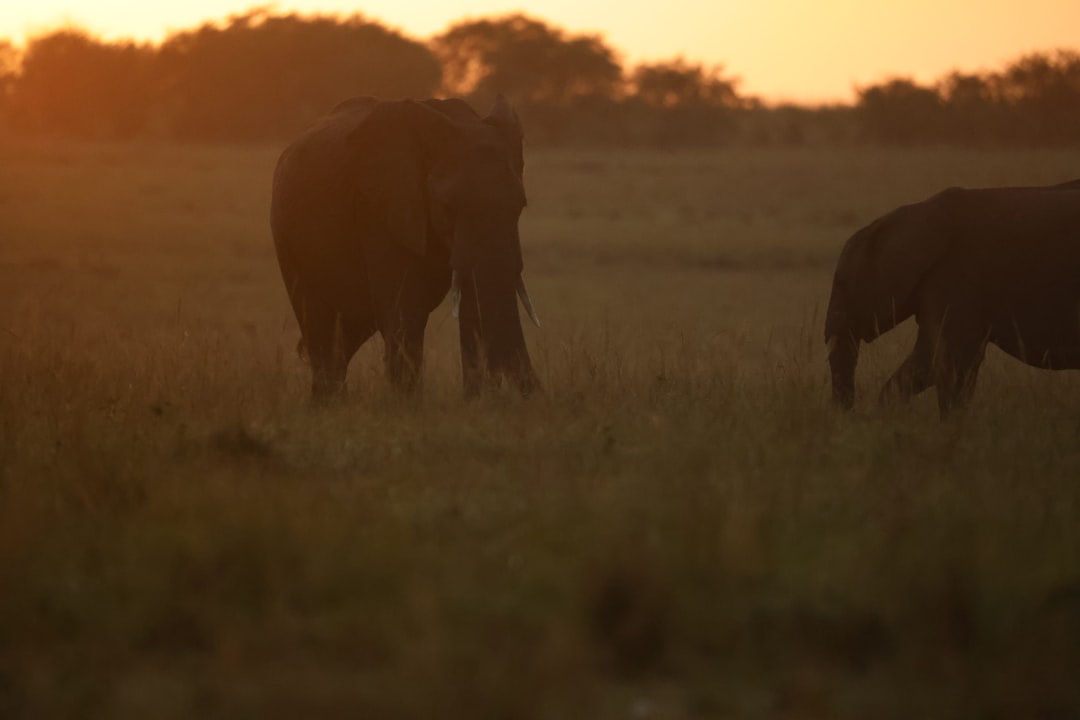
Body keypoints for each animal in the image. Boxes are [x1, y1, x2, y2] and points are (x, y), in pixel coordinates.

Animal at [271, 95, 541, 400]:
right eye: (447, 206)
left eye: (520, 206)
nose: (538, 399)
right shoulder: (381, 208)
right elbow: (404, 312)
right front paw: (408, 406)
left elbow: (473, 308)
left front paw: (475, 403)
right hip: (286, 241)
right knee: (320, 328)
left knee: (346, 336)